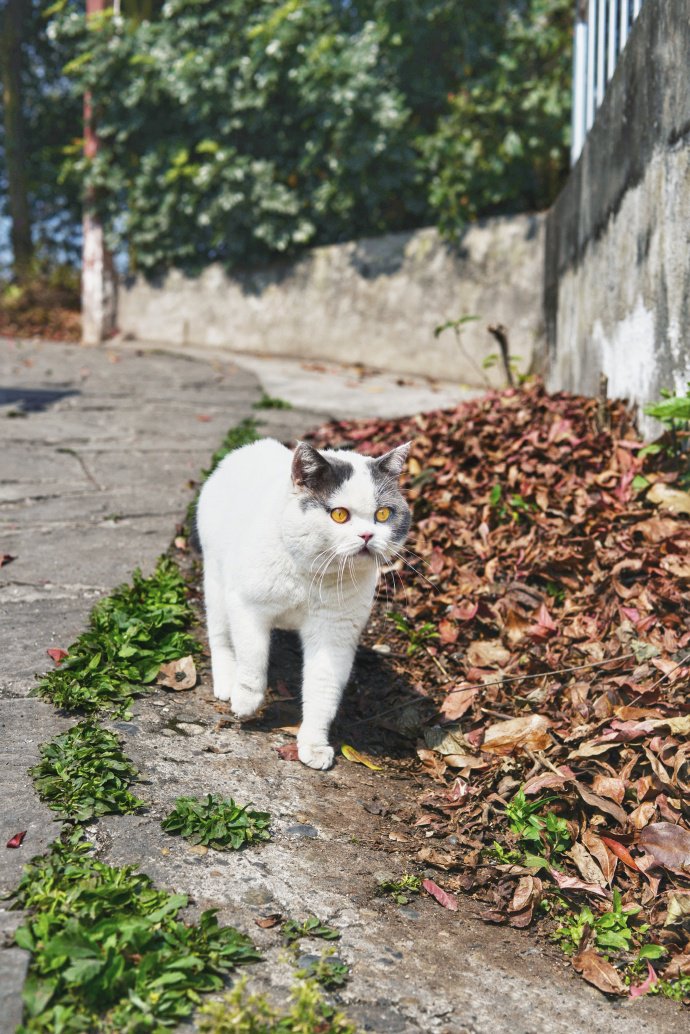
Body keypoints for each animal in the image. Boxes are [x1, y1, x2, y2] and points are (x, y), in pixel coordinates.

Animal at [194, 436, 409, 769]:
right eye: (339, 515)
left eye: (383, 514)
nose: (367, 535)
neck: (310, 578)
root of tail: (250, 448)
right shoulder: (246, 606)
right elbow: (253, 657)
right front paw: (246, 701)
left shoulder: (335, 633)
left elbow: (323, 690)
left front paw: (314, 746)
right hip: (216, 581)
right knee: (220, 637)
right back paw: (227, 682)